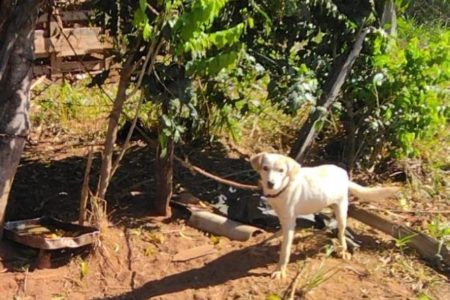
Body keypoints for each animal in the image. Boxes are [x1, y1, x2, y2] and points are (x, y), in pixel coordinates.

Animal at [250, 152, 400, 278]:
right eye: (265, 168)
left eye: (281, 171)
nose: (271, 183)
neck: (284, 188)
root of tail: (344, 174)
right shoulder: (285, 218)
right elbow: (280, 233)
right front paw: (268, 241)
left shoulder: (289, 221)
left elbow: (285, 250)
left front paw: (280, 270)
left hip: (341, 210)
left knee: (341, 232)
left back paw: (343, 249)